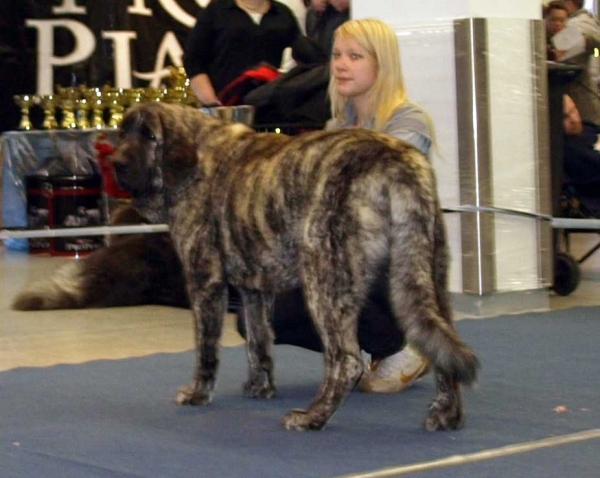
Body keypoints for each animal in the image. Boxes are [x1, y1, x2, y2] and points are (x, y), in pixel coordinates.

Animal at [18, 102, 480, 432]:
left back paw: (313, 416)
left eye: (148, 136)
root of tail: (396, 160)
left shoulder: (205, 281)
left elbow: (206, 349)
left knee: (346, 360)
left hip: (326, 280)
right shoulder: (255, 290)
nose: (115, 163)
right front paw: (260, 388)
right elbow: (260, 342)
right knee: (441, 343)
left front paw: (198, 393)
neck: (193, 157)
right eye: (122, 132)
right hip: (424, 275)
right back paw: (448, 415)